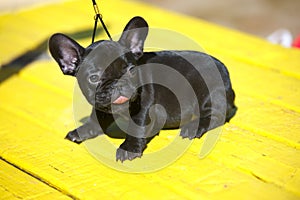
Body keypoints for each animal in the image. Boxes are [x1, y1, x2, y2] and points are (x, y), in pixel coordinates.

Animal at [49, 16, 237, 162]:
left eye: (132, 70)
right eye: (94, 78)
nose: (120, 83)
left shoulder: (146, 107)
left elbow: (137, 126)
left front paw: (129, 148)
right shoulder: (101, 106)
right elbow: (95, 119)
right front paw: (83, 130)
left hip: (209, 92)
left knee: (217, 115)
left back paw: (193, 127)